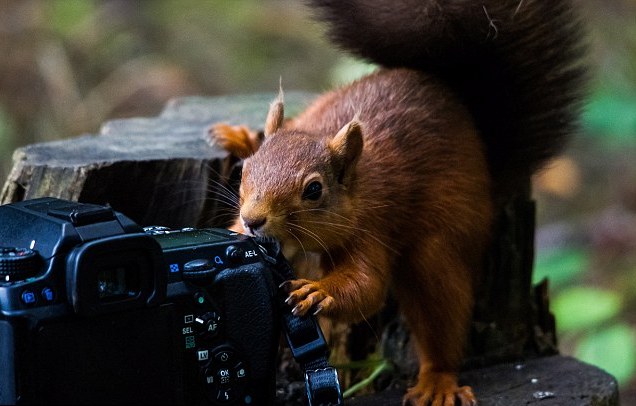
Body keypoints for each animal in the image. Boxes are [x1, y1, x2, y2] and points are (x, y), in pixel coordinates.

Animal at [209, 1, 588, 404]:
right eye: (246, 170)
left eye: (314, 190)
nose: (253, 220)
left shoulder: (373, 227)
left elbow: (366, 287)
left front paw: (318, 290)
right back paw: (239, 135)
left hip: (440, 247)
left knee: (441, 314)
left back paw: (438, 381)